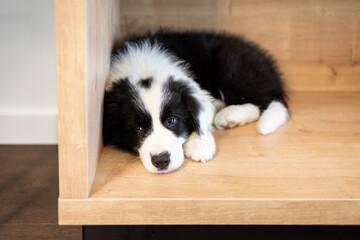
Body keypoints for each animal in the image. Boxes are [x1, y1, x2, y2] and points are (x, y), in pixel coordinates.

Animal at [102, 31, 288, 173]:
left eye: (172, 121)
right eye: (137, 128)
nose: (161, 161)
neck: (144, 69)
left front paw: (200, 144)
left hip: (231, 63)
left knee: (263, 101)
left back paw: (229, 115)